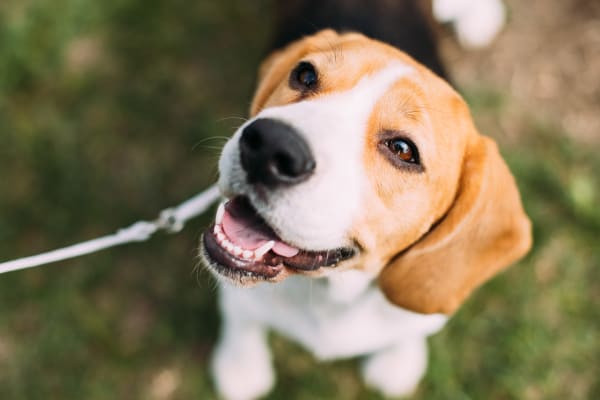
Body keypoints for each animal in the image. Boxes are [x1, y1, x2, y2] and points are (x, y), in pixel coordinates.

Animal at [203, 5, 528, 400]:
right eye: (305, 75)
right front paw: (241, 365)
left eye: (403, 149)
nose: (268, 146)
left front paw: (398, 361)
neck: (332, 294)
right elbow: (242, 316)